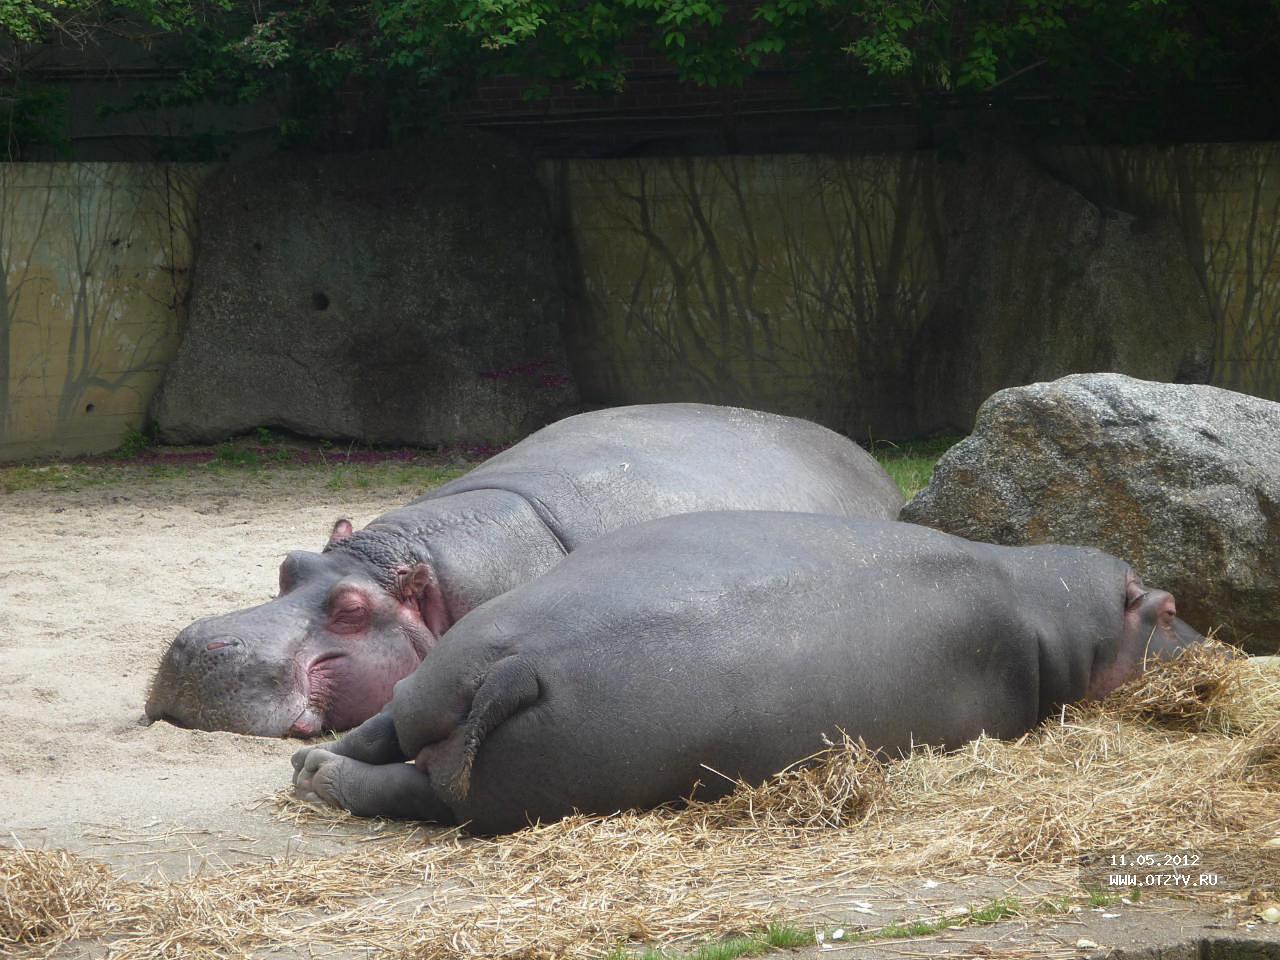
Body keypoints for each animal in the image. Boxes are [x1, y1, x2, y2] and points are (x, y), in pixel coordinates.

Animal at [293, 512, 1208, 834]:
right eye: (1167, 612)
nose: (1213, 645)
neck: (1062, 614)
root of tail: (517, 664)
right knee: (418, 792)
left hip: (443, 679)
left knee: (386, 747)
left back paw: (309, 768)